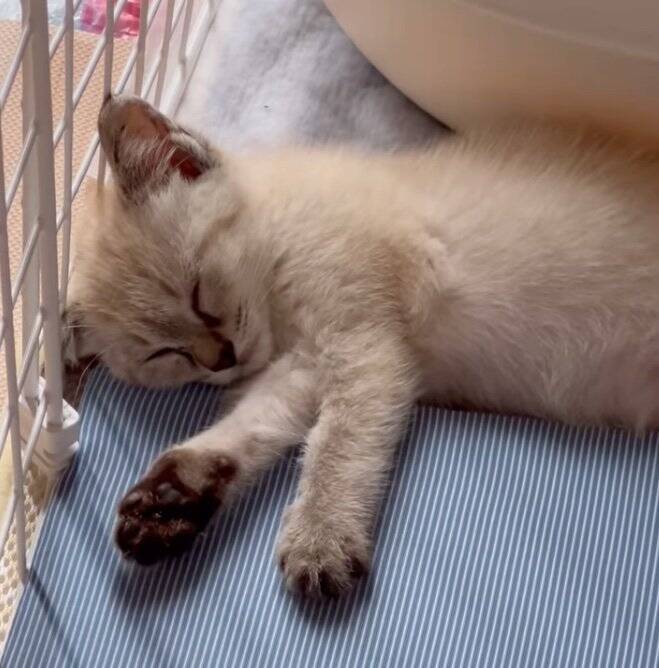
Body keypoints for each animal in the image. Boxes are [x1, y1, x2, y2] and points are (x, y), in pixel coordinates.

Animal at [65, 93, 659, 597]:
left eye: (197, 294)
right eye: (163, 354)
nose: (221, 358)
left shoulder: (363, 344)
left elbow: (337, 444)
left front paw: (321, 538)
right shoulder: (304, 366)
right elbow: (252, 426)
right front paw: (169, 500)